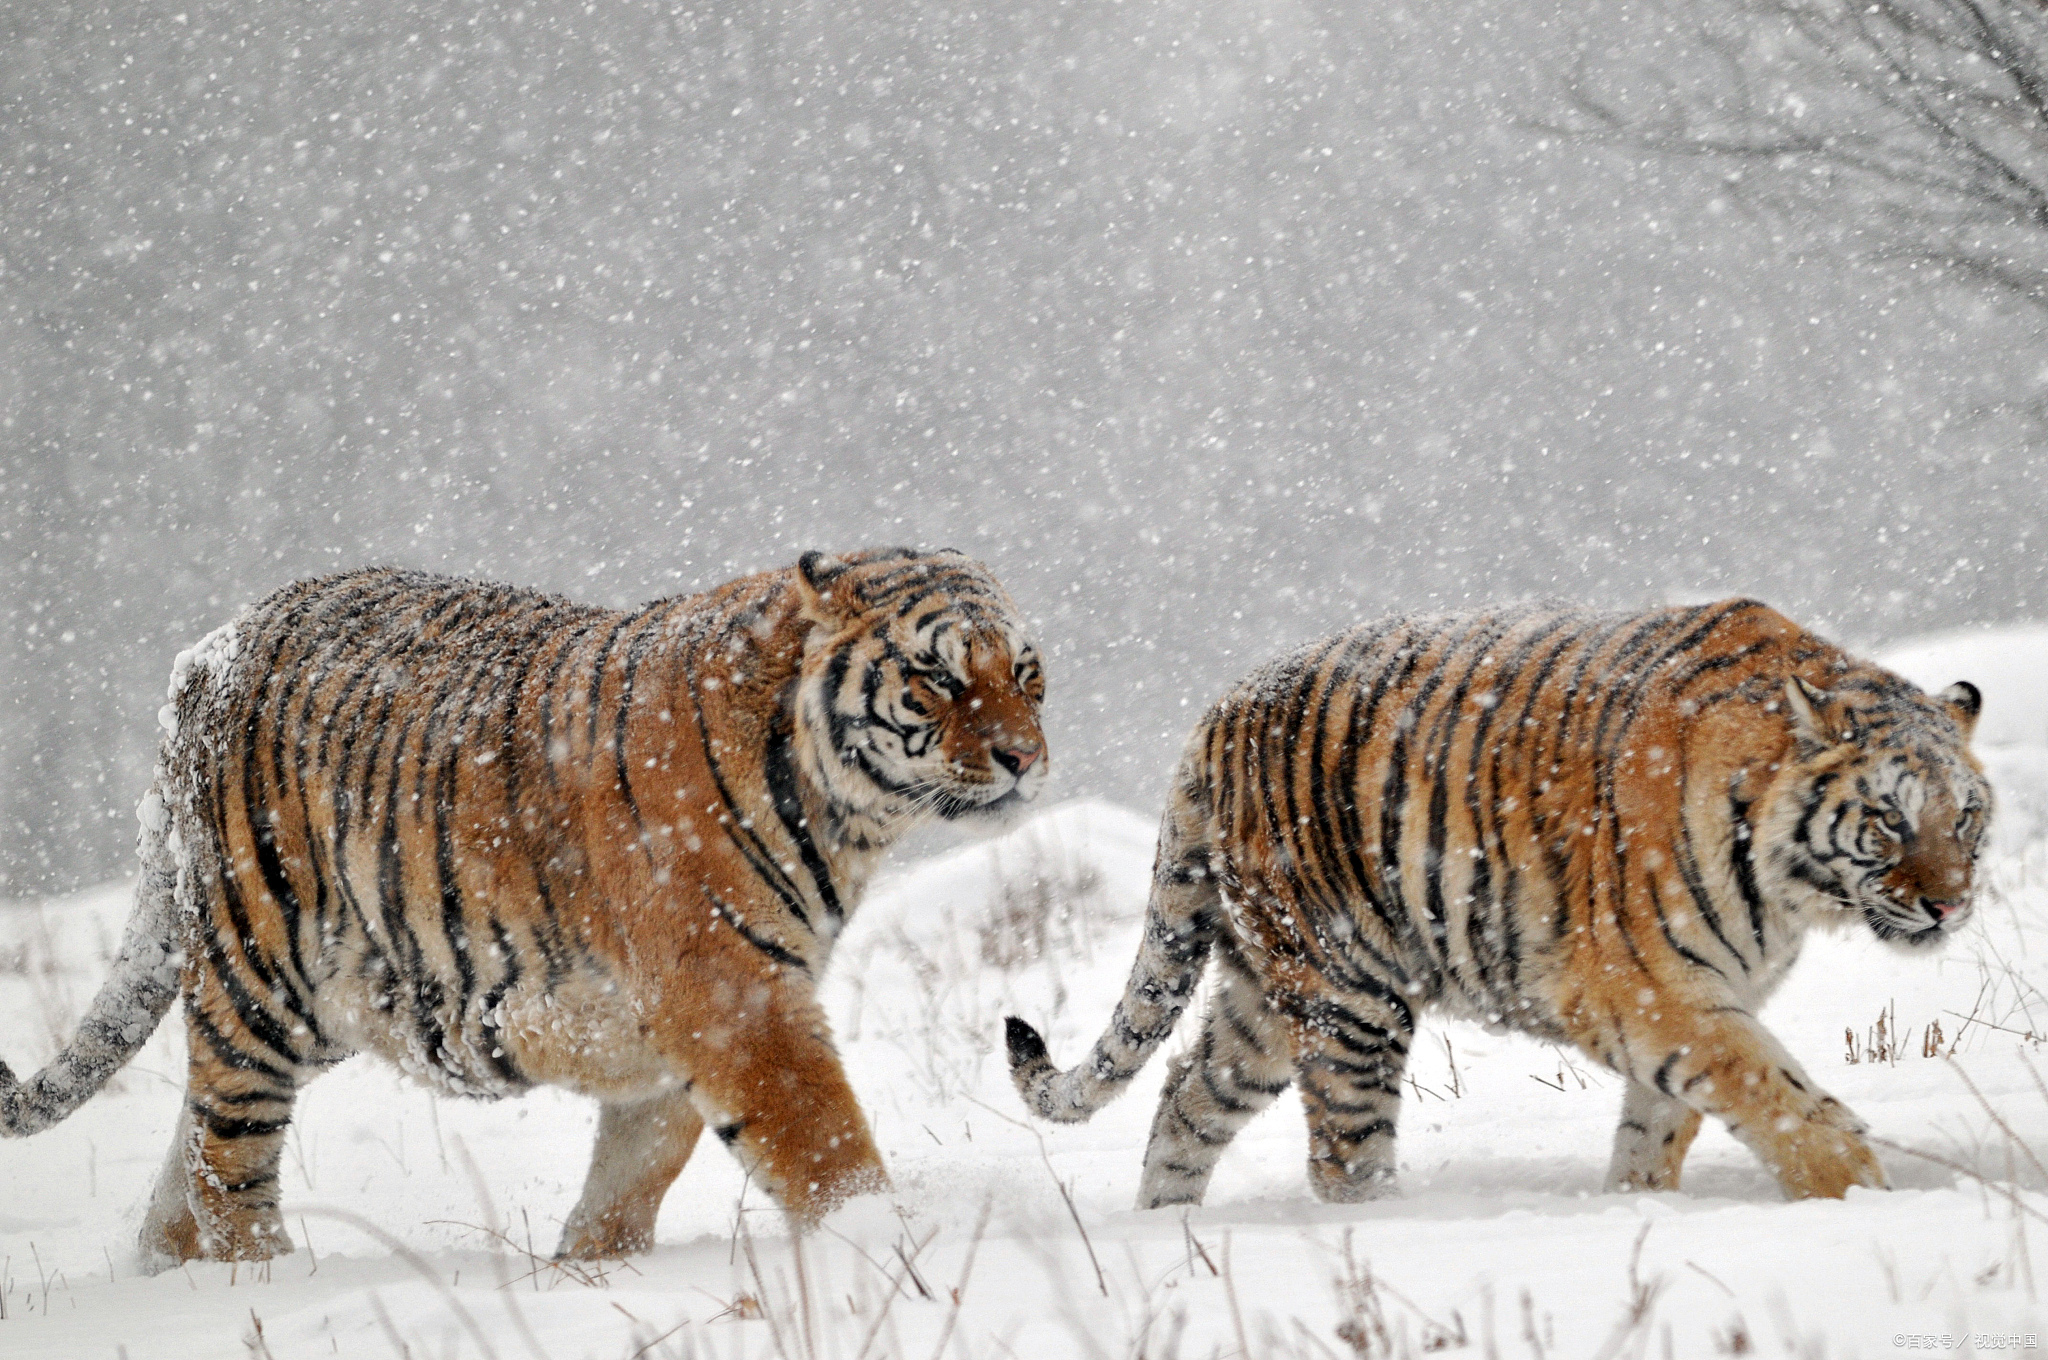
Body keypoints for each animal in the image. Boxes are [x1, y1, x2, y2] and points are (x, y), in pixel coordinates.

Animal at [0, 548, 1048, 1269]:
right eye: (939, 677)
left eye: (1027, 673)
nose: (1025, 758)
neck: (849, 817)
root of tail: (209, 649)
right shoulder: (734, 997)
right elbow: (823, 1142)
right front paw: (886, 1245)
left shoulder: (670, 1032)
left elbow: (635, 1170)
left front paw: (592, 1267)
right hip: (259, 979)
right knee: (228, 1161)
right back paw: (268, 1284)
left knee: (185, 1157)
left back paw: (166, 1274)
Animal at [1007, 602, 1982, 1204]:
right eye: (1890, 820)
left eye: (1965, 817)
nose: (1949, 906)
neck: (1792, 888)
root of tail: (1217, 715)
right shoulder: (1649, 989)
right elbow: (1774, 1093)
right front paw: (1858, 1192)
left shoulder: (1701, 995)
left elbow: (1660, 1125)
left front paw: (1638, 1206)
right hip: (1348, 996)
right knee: (1343, 1159)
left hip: (1263, 1000)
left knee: (1187, 1099)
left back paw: (1168, 1232)